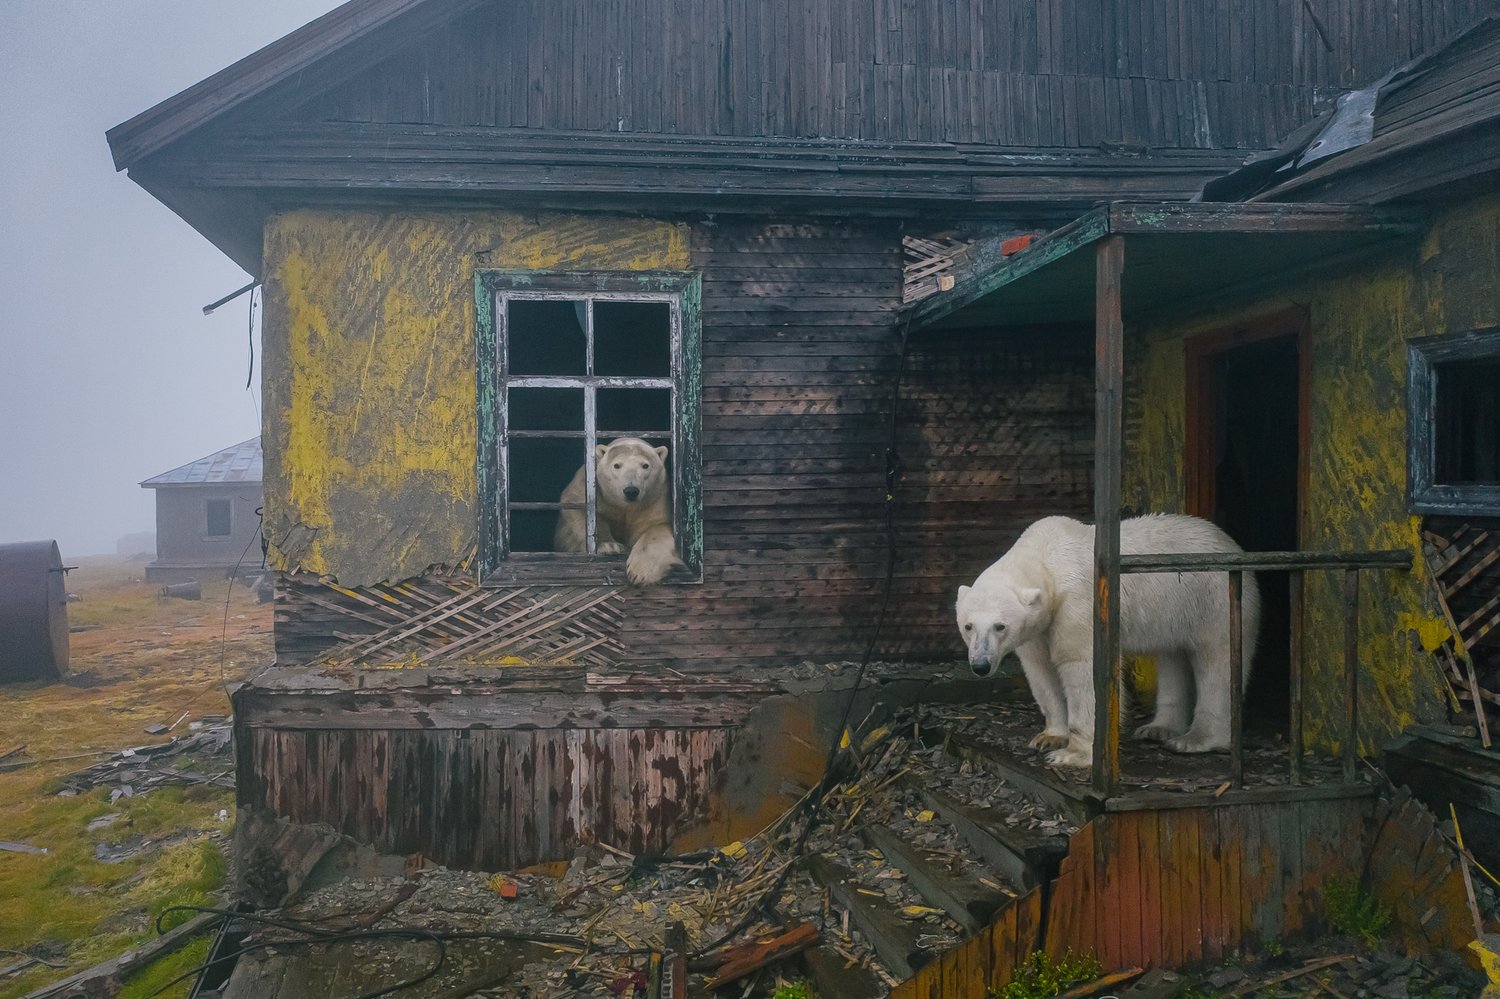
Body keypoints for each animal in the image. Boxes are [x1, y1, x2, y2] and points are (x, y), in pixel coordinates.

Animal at [558, 435, 687, 585]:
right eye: (616, 465)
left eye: (645, 465)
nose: (631, 490)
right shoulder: (589, 487)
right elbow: (578, 507)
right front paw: (610, 547)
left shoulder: (656, 498)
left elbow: (658, 527)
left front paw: (640, 572)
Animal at [954, 510, 1260, 765]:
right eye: (968, 626)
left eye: (1000, 626)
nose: (980, 665)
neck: (1046, 558)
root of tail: (1231, 544)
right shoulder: (1039, 626)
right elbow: (1041, 670)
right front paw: (1049, 737)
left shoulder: (1078, 604)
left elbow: (1082, 667)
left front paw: (1072, 754)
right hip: (1175, 612)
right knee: (1171, 657)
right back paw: (1157, 728)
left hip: (1213, 598)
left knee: (1217, 661)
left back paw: (1194, 739)